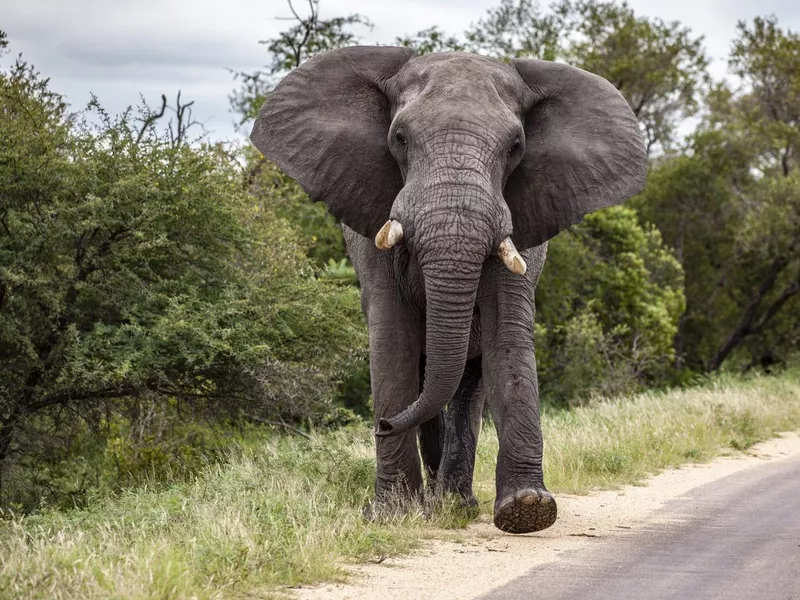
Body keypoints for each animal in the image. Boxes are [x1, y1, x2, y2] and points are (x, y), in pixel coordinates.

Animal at [253, 48, 648, 536]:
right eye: (399, 138)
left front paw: (528, 511)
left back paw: (455, 504)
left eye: (515, 147)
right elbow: (393, 339)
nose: (381, 425)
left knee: (467, 381)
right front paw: (393, 515)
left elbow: (506, 336)